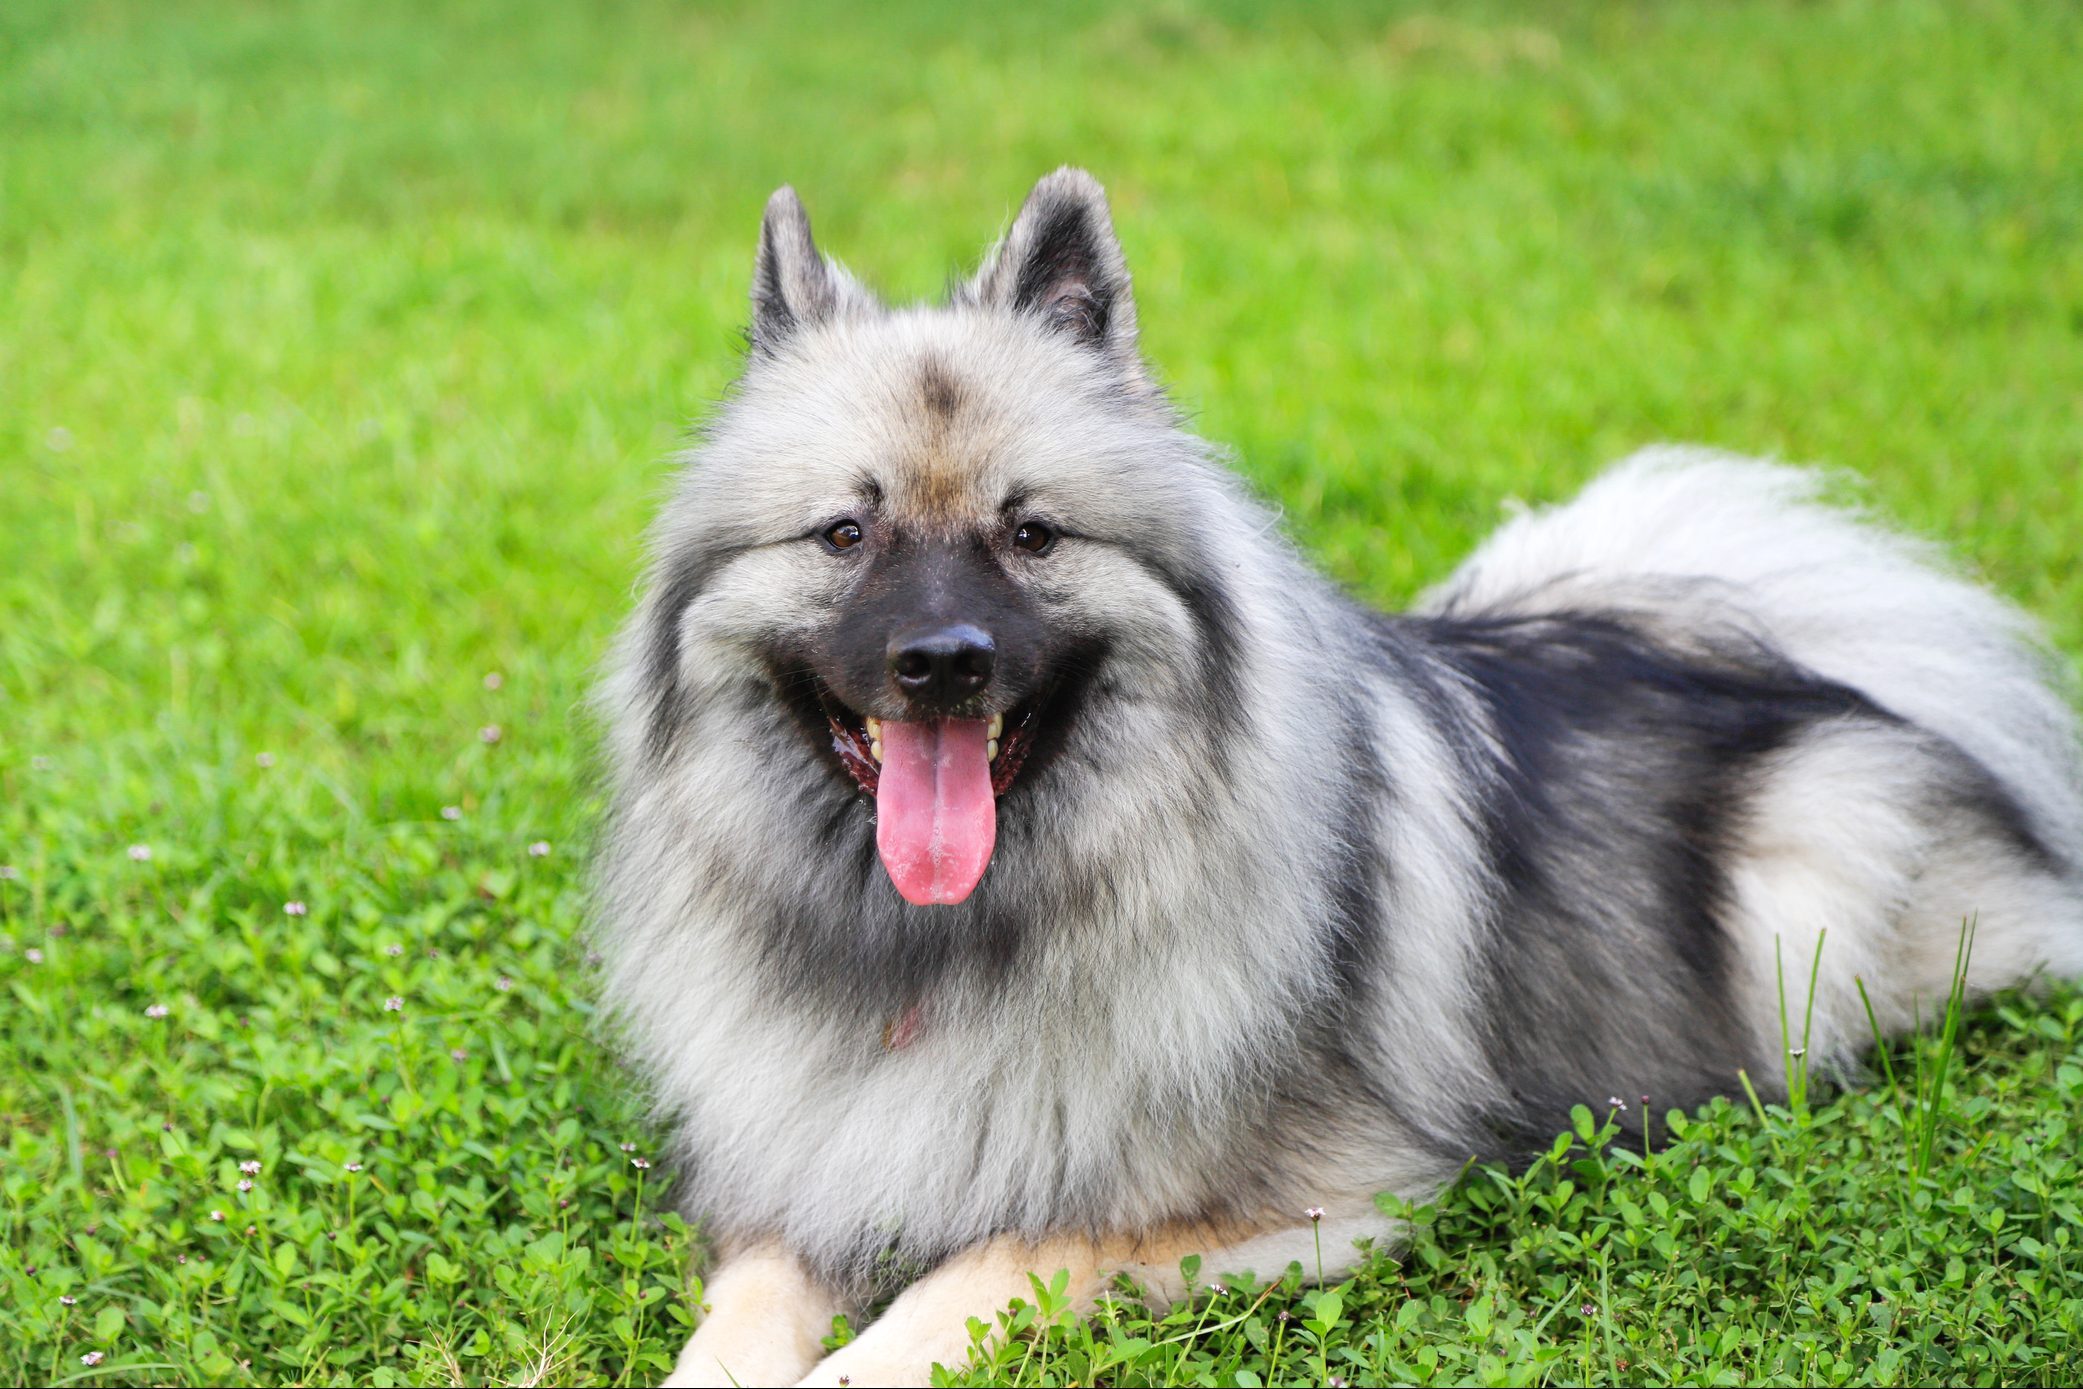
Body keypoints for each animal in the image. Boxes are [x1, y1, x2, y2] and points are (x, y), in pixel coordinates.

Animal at [591, 168, 2083, 1382]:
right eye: (844, 535)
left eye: (1031, 534)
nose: (941, 662)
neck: (932, 943)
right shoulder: (797, 1173)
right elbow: (743, 1310)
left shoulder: (1292, 1200)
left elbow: (988, 1265)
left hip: (1809, 907)